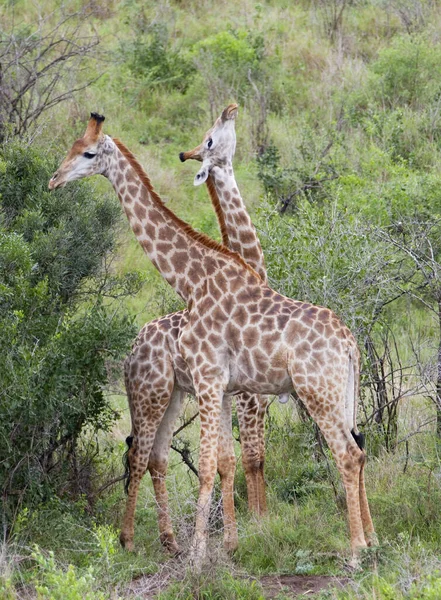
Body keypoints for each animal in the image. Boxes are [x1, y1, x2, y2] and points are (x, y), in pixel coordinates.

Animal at [50, 112, 374, 568]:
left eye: (89, 153)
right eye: (72, 147)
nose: (54, 180)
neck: (193, 279)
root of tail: (349, 343)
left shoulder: (210, 380)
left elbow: (208, 465)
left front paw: (200, 556)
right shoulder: (220, 387)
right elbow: (225, 461)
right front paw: (229, 546)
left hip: (313, 392)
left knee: (347, 453)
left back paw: (357, 550)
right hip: (328, 393)